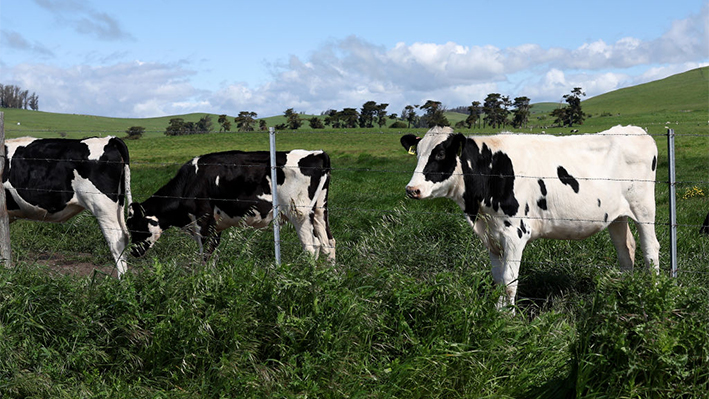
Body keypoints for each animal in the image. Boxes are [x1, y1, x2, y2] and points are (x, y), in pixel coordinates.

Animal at [126, 149, 334, 262]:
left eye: (135, 226)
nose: (133, 253)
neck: (189, 182)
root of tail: (317, 154)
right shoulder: (216, 226)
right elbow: (213, 253)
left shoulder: (203, 221)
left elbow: (204, 254)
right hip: (320, 210)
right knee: (328, 243)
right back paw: (329, 279)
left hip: (299, 213)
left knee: (312, 247)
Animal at [402, 126, 660, 310]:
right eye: (418, 154)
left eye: (440, 153)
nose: (412, 189)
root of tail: (635, 130)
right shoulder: (492, 237)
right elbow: (498, 280)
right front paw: (497, 313)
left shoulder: (515, 233)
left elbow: (509, 281)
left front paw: (507, 320)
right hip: (616, 216)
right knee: (626, 249)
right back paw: (623, 290)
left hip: (644, 208)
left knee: (650, 248)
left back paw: (655, 290)